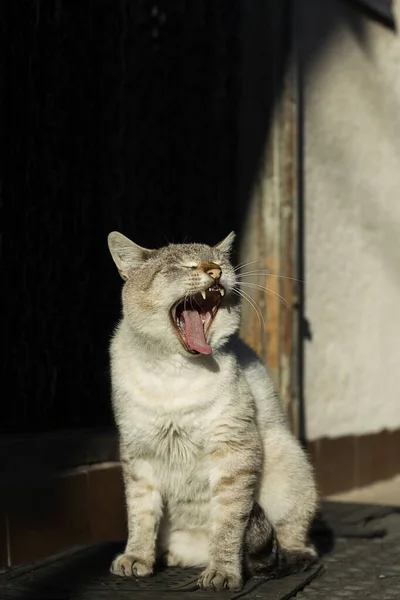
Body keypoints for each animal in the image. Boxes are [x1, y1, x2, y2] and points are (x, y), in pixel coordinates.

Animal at [107, 230, 318, 592]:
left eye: (219, 262)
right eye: (184, 266)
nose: (215, 272)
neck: (174, 374)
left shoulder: (233, 451)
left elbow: (228, 526)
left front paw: (222, 573)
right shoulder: (138, 456)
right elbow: (141, 516)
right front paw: (137, 559)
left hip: (288, 464)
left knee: (294, 543)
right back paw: (169, 557)